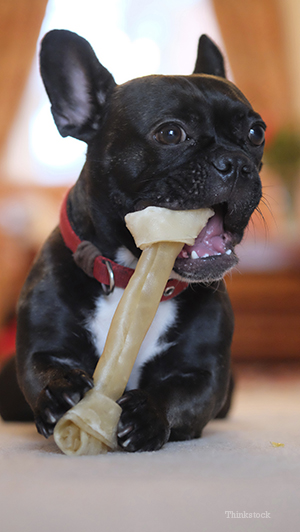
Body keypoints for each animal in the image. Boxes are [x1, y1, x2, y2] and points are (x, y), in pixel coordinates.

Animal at [0, 30, 264, 454]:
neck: (133, 277)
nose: (236, 163)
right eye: (171, 133)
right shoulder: (43, 347)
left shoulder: (205, 373)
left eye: (257, 133)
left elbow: (182, 394)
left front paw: (146, 413)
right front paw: (60, 391)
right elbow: (43, 366)